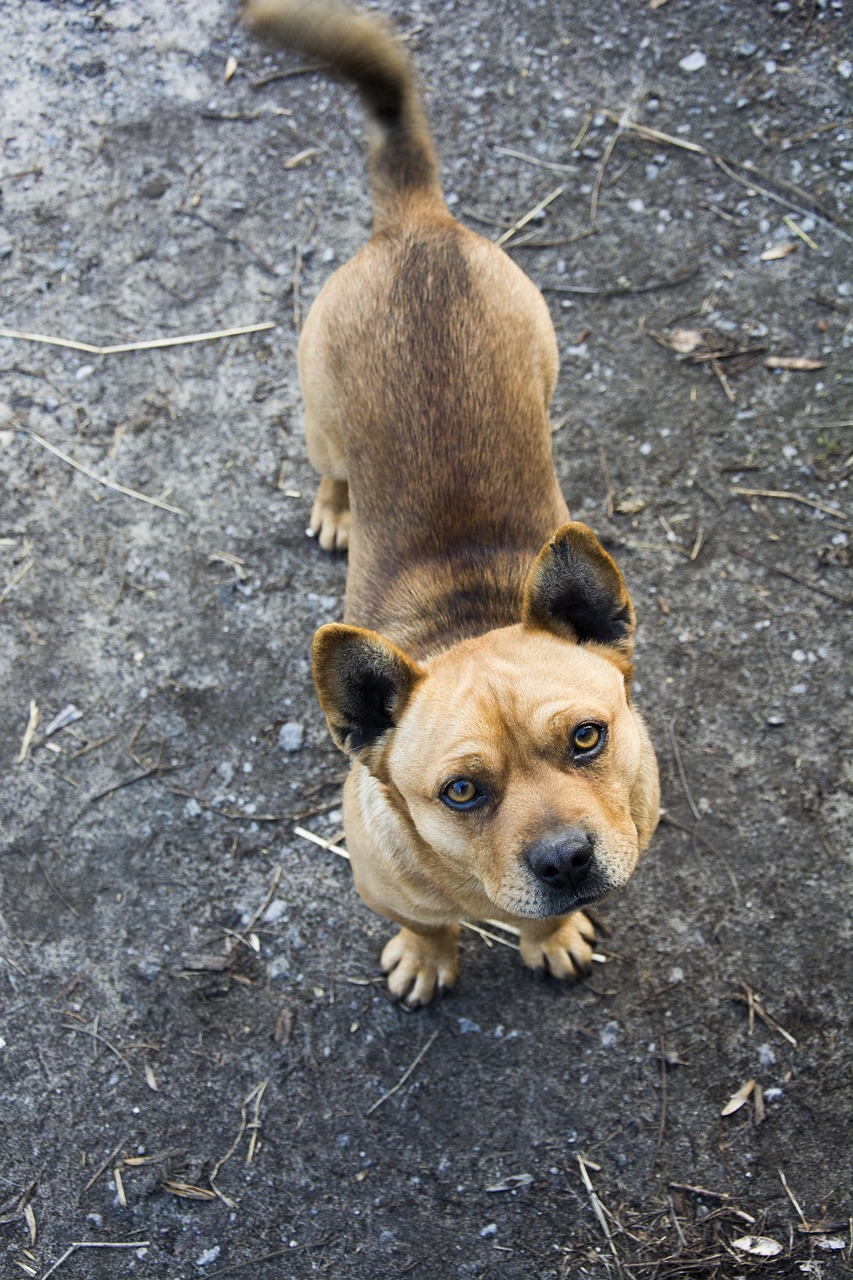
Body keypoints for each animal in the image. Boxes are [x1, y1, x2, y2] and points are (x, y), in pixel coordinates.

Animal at [242, 0, 660, 1003]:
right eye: (462, 792)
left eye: (586, 738)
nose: (565, 859)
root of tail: (416, 224)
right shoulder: (385, 885)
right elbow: (425, 924)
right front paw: (430, 956)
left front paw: (551, 935)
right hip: (320, 419)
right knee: (330, 468)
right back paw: (337, 511)